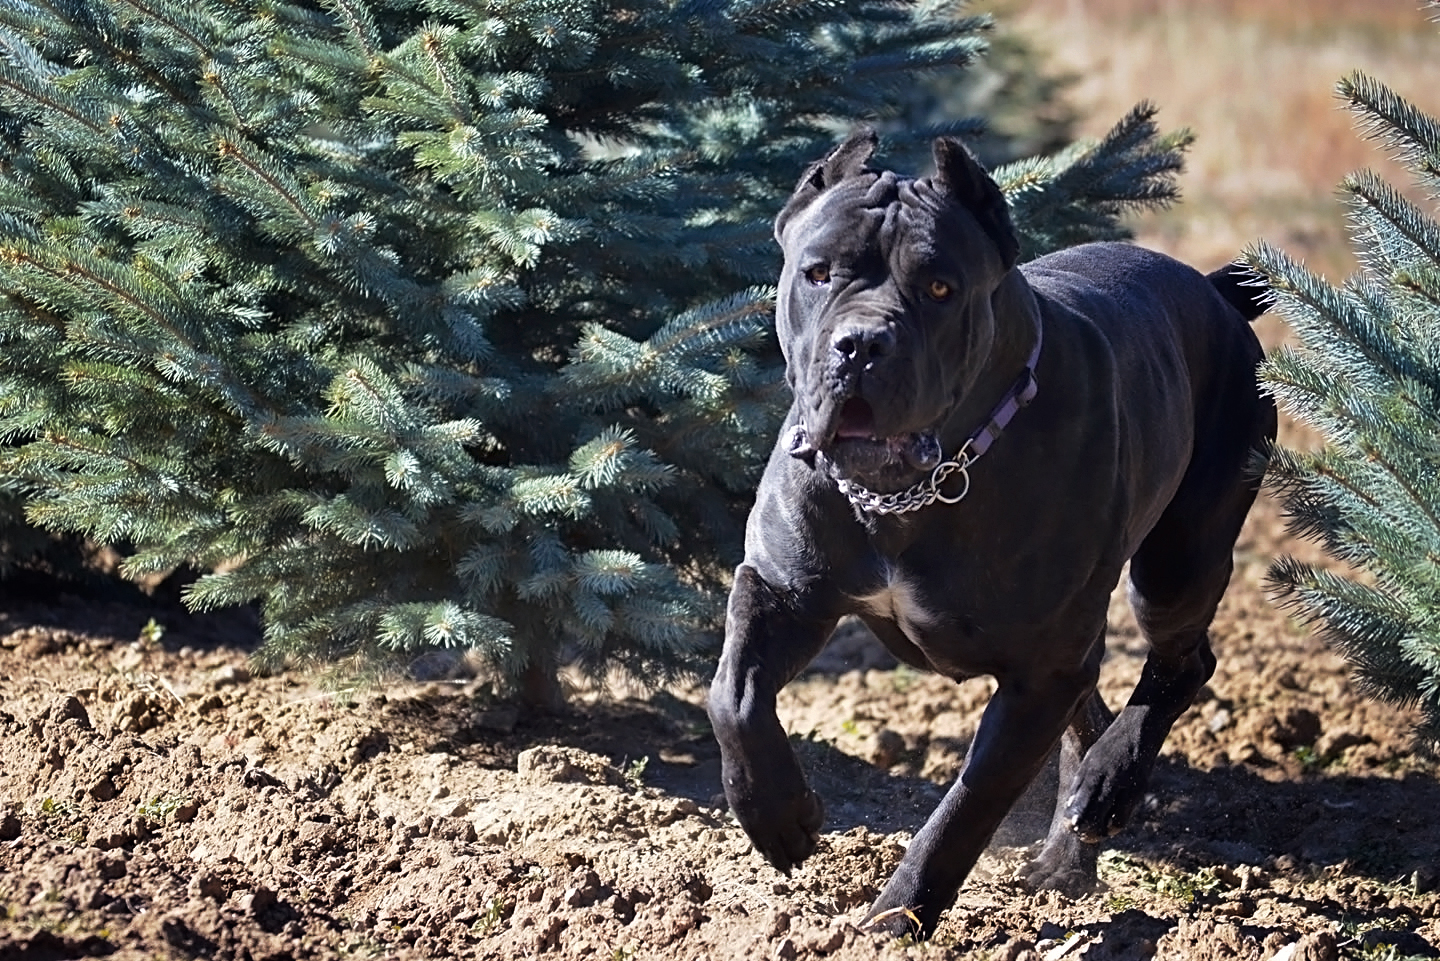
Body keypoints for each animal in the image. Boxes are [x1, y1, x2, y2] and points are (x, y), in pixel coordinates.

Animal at [705, 131, 1272, 933]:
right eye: (816, 273)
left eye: (941, 288)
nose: (860, 344)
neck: (917, 489)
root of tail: (1216, 293)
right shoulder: (785, 591)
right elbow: (732, 695)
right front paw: (780, 818)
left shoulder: (1038, 673)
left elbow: (967, 806)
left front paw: (896, 919)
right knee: (1094, 705)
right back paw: (1066, 855)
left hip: (1178, 557)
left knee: (1179, 665)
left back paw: (1107, 788)